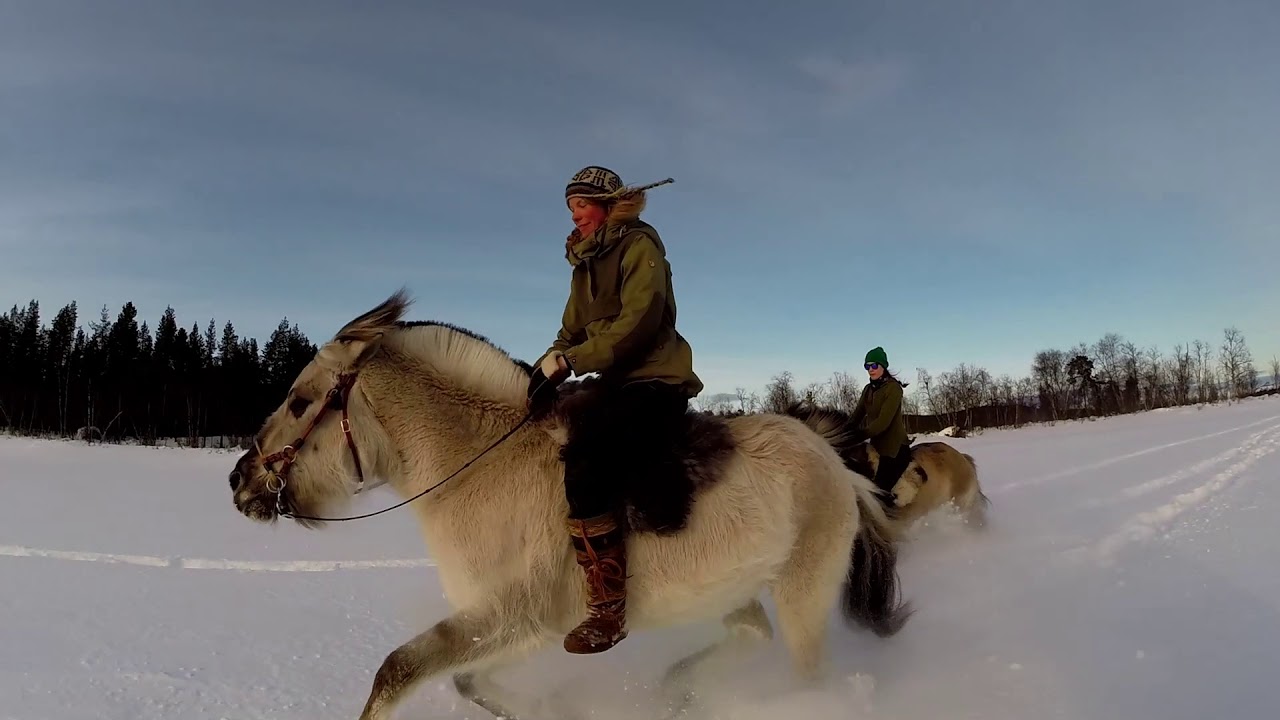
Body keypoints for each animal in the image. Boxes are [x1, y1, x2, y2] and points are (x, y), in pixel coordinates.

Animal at [227, 290, 912, 720]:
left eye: (299, 402)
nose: (238, 480)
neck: (480, 465)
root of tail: (833, 462)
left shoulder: (516, 613)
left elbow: (396, 671)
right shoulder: (517, 623)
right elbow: (466, 679)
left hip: (803, 594)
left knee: (802, 669)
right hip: (734, 588)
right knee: (750, 632)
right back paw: (678, 692)